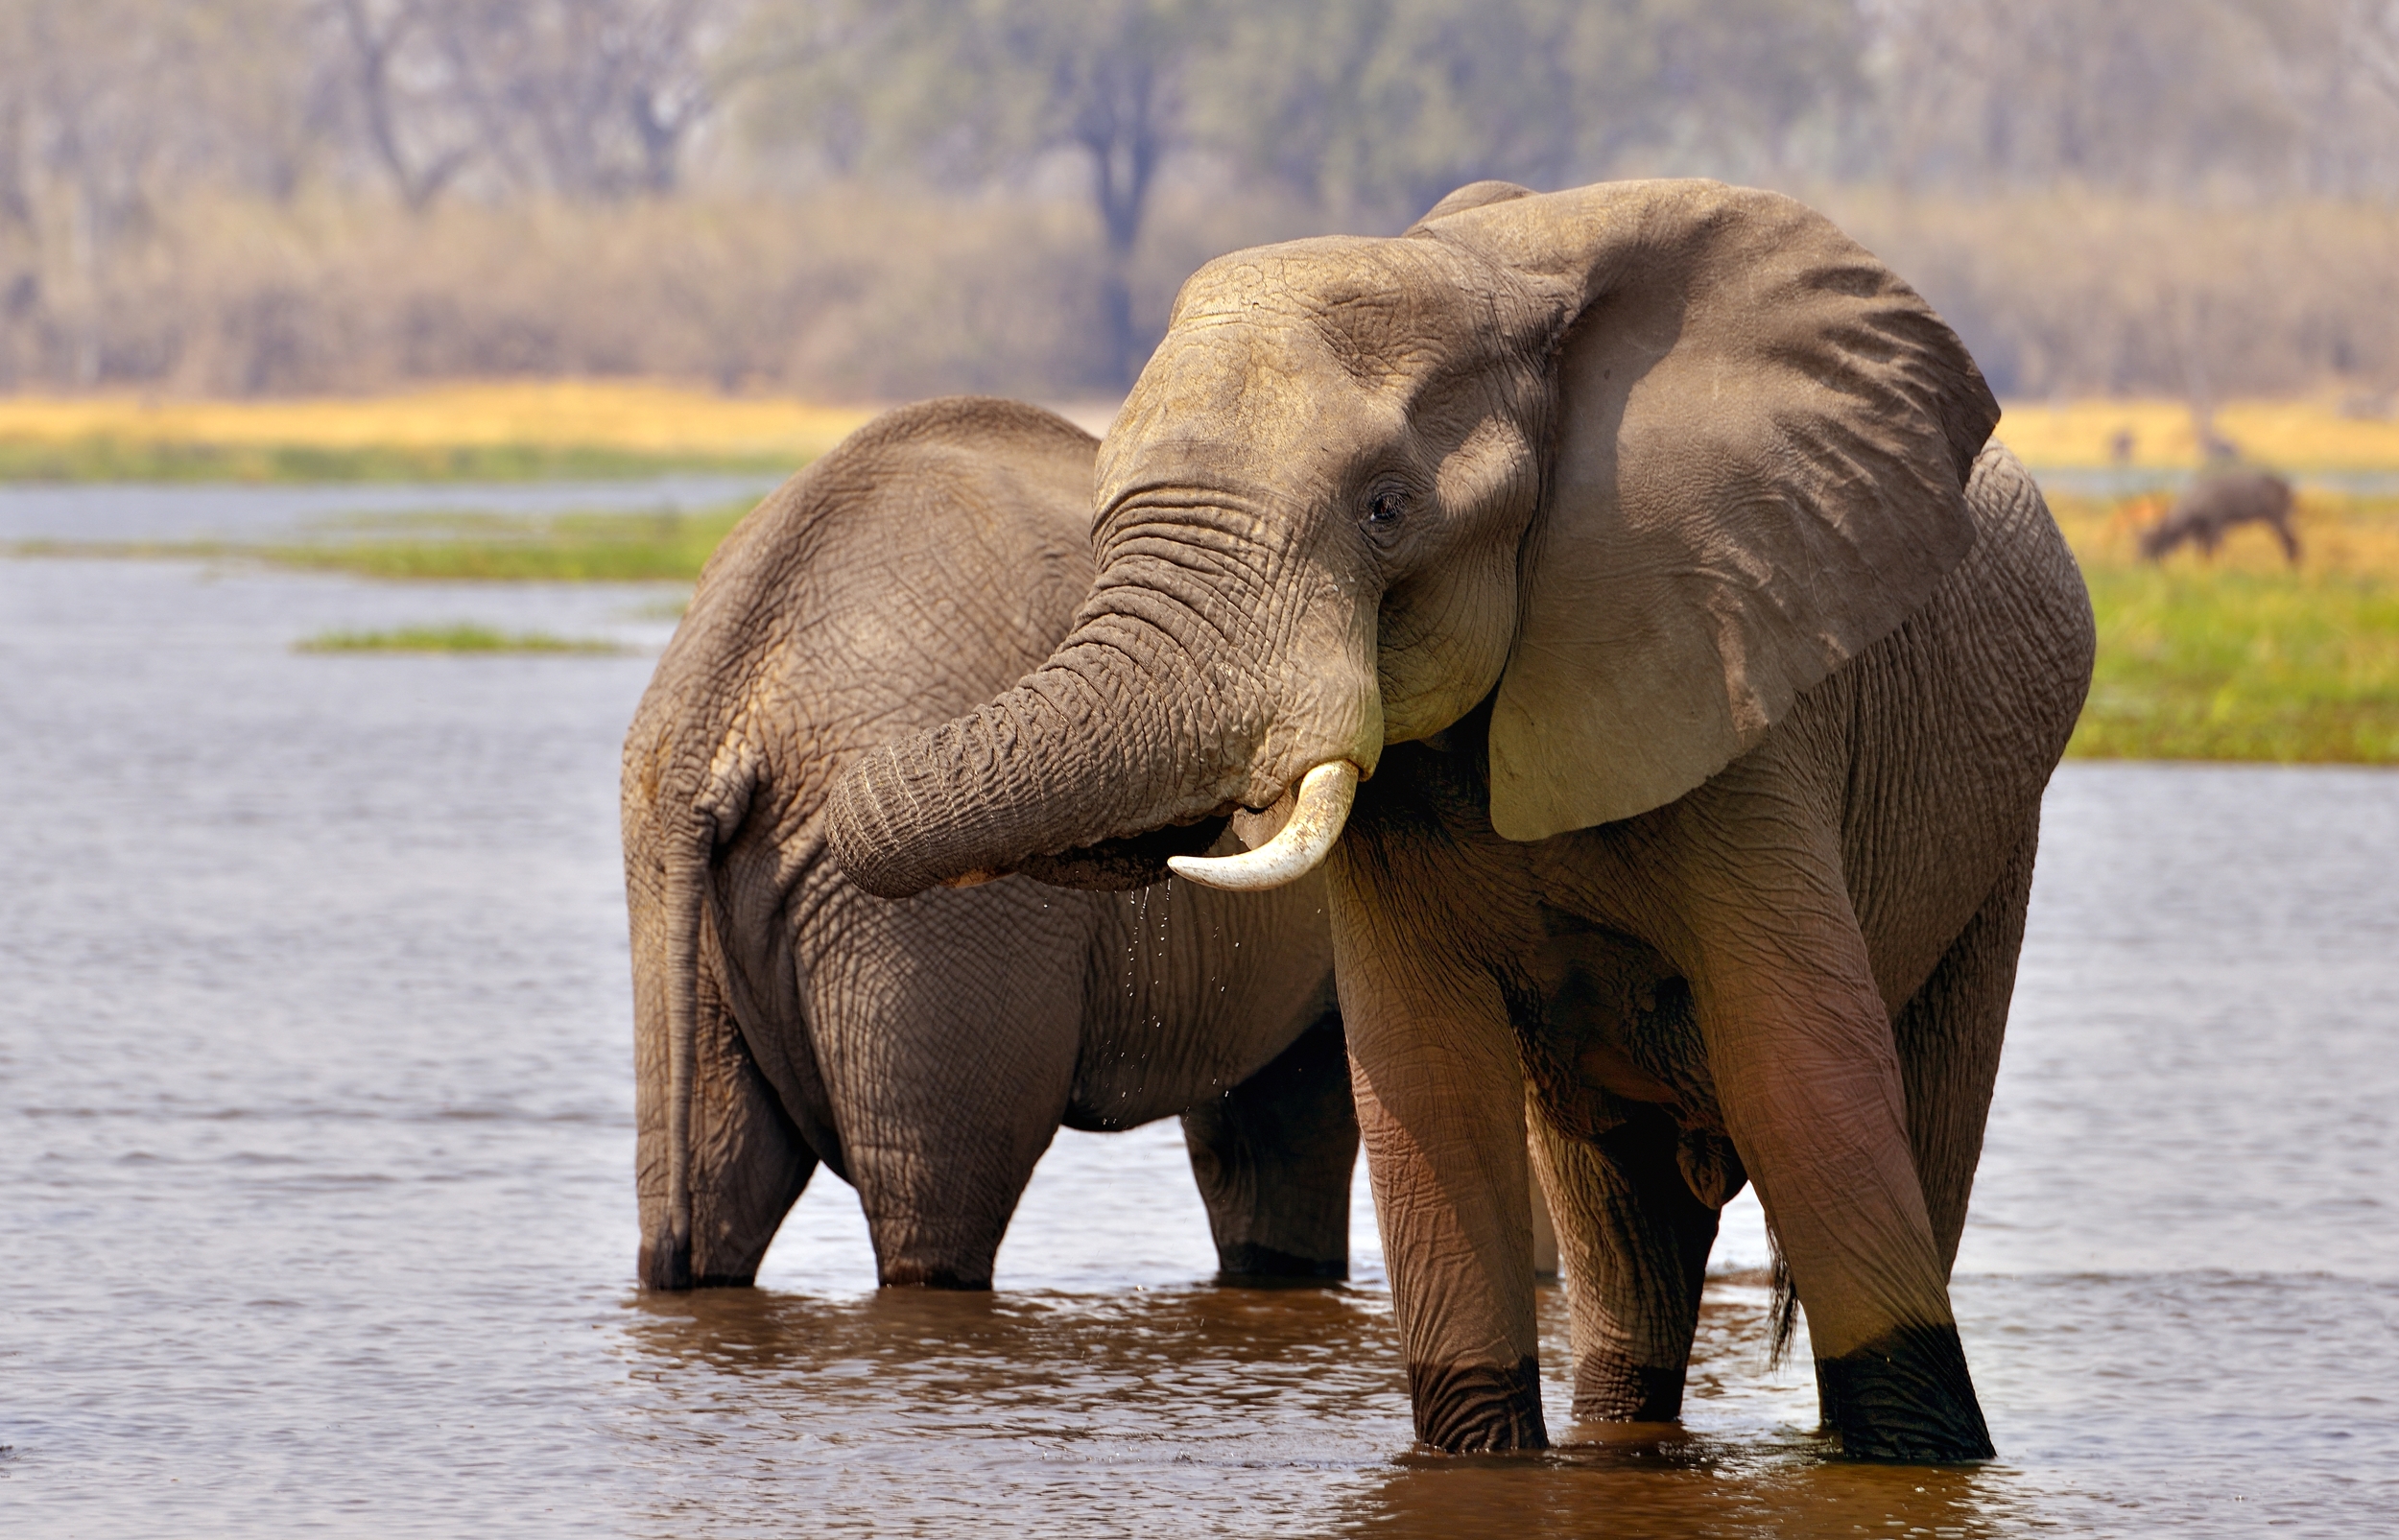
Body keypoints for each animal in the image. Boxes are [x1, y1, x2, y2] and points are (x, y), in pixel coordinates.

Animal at [622, 396, 1358, 1295]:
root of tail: (722, 689)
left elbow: (1272, 1124)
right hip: (927, 933)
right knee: (938, 1199)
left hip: (670, 877)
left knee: (716, 1175)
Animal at [824, 180, 2098, 1460]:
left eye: (1386, 509)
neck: (1494, 284)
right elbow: (1425, 1080)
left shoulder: (1735, 674)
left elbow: (1800, 1070)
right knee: (1618, 1227)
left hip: (1994, 829)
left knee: (1917, 1109)